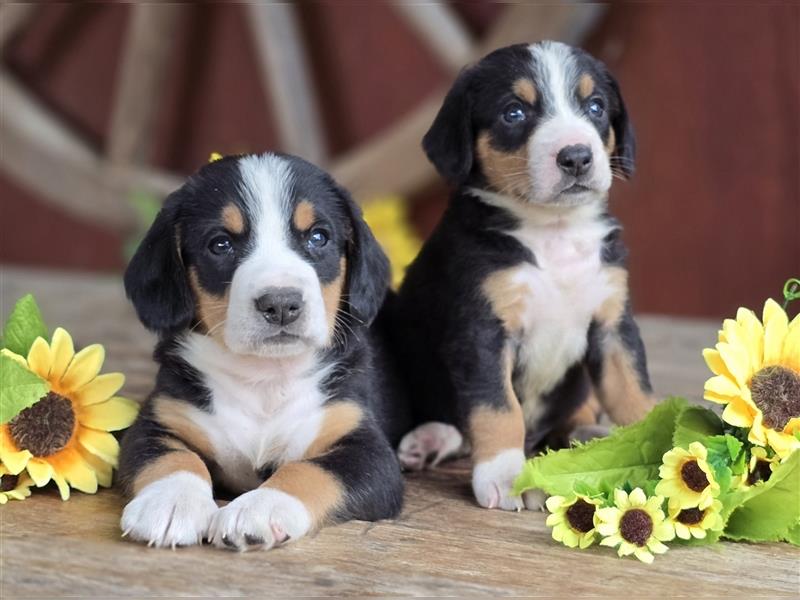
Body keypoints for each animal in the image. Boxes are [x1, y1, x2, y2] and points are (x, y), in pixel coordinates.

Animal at [117, 154, 406, 548]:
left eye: (318, 237)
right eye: (220, 244)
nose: (281, 303)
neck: (265, 378)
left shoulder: (367, 449)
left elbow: (308, 470)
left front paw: (260, 508)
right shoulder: (159, 421)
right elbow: (171, 458)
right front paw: (170, 502)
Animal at [390, 42, 652, 510]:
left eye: (595, 106)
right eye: (513, 113)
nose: (576, 156)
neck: (553, 232)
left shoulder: (613, 323)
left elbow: (631, 390)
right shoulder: (481, 331)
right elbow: (497, 408)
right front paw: (505, 474)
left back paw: (587, 435)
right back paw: (428, 440)